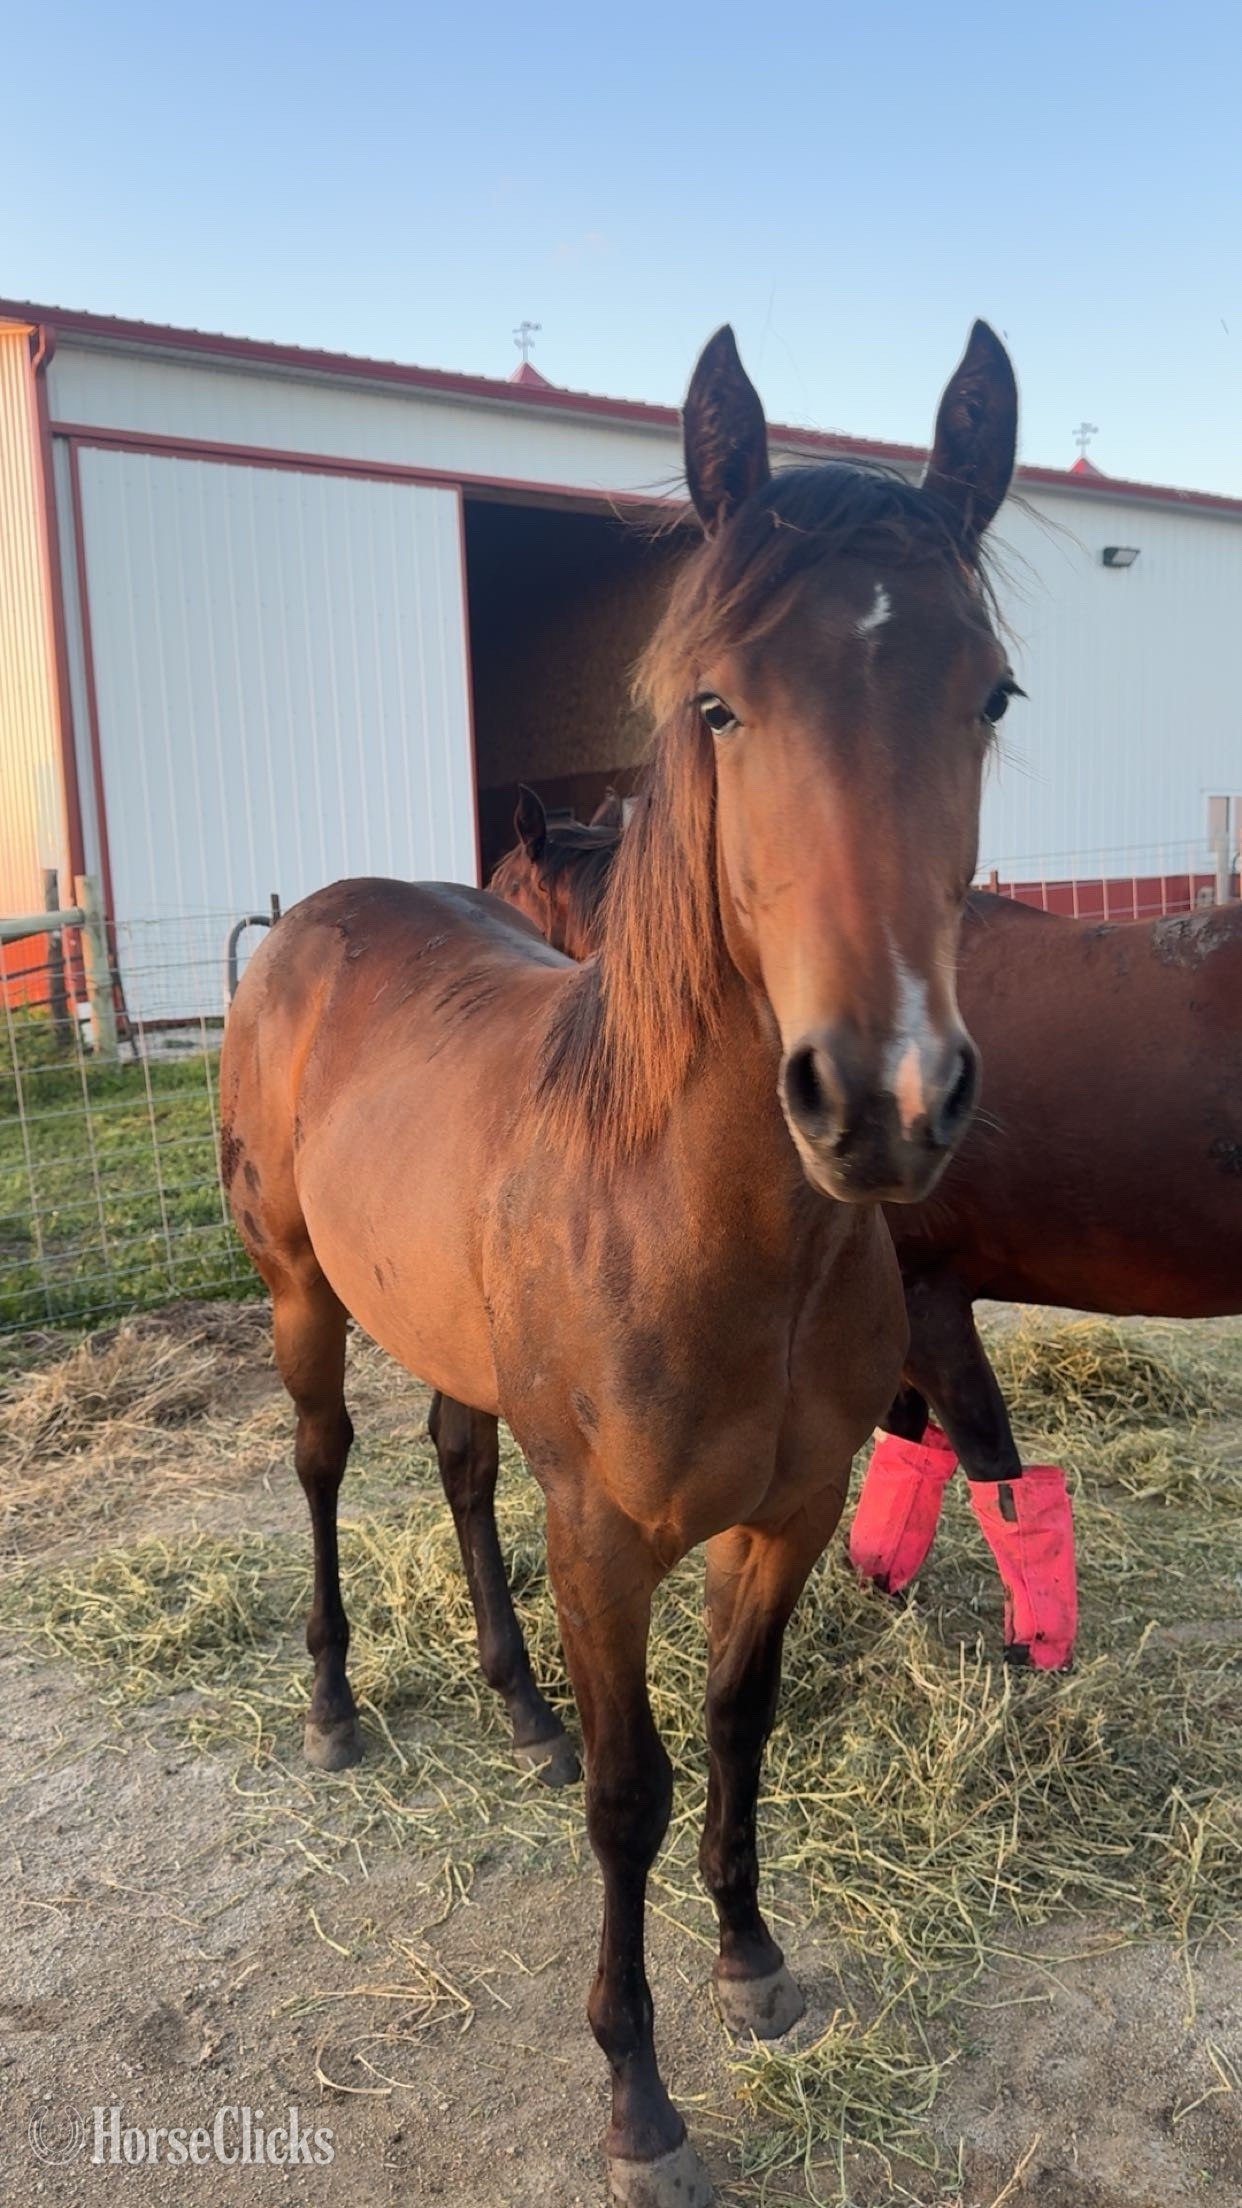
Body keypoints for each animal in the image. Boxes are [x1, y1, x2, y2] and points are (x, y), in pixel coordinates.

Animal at [221, 319, 1017, 2207]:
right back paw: (335, 1703)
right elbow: (628, 1794)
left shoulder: (782, 1517)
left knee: (453, 1460)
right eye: (718, 703)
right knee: (322, 1465)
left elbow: (736, 1726)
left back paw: (509, 1700)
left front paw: (752, 1958)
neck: (709, 1227)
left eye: (990, 696)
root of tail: (307, 921)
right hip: (300, 1298)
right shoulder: (606, 1535)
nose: (882, 1097)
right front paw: (638, 2096)